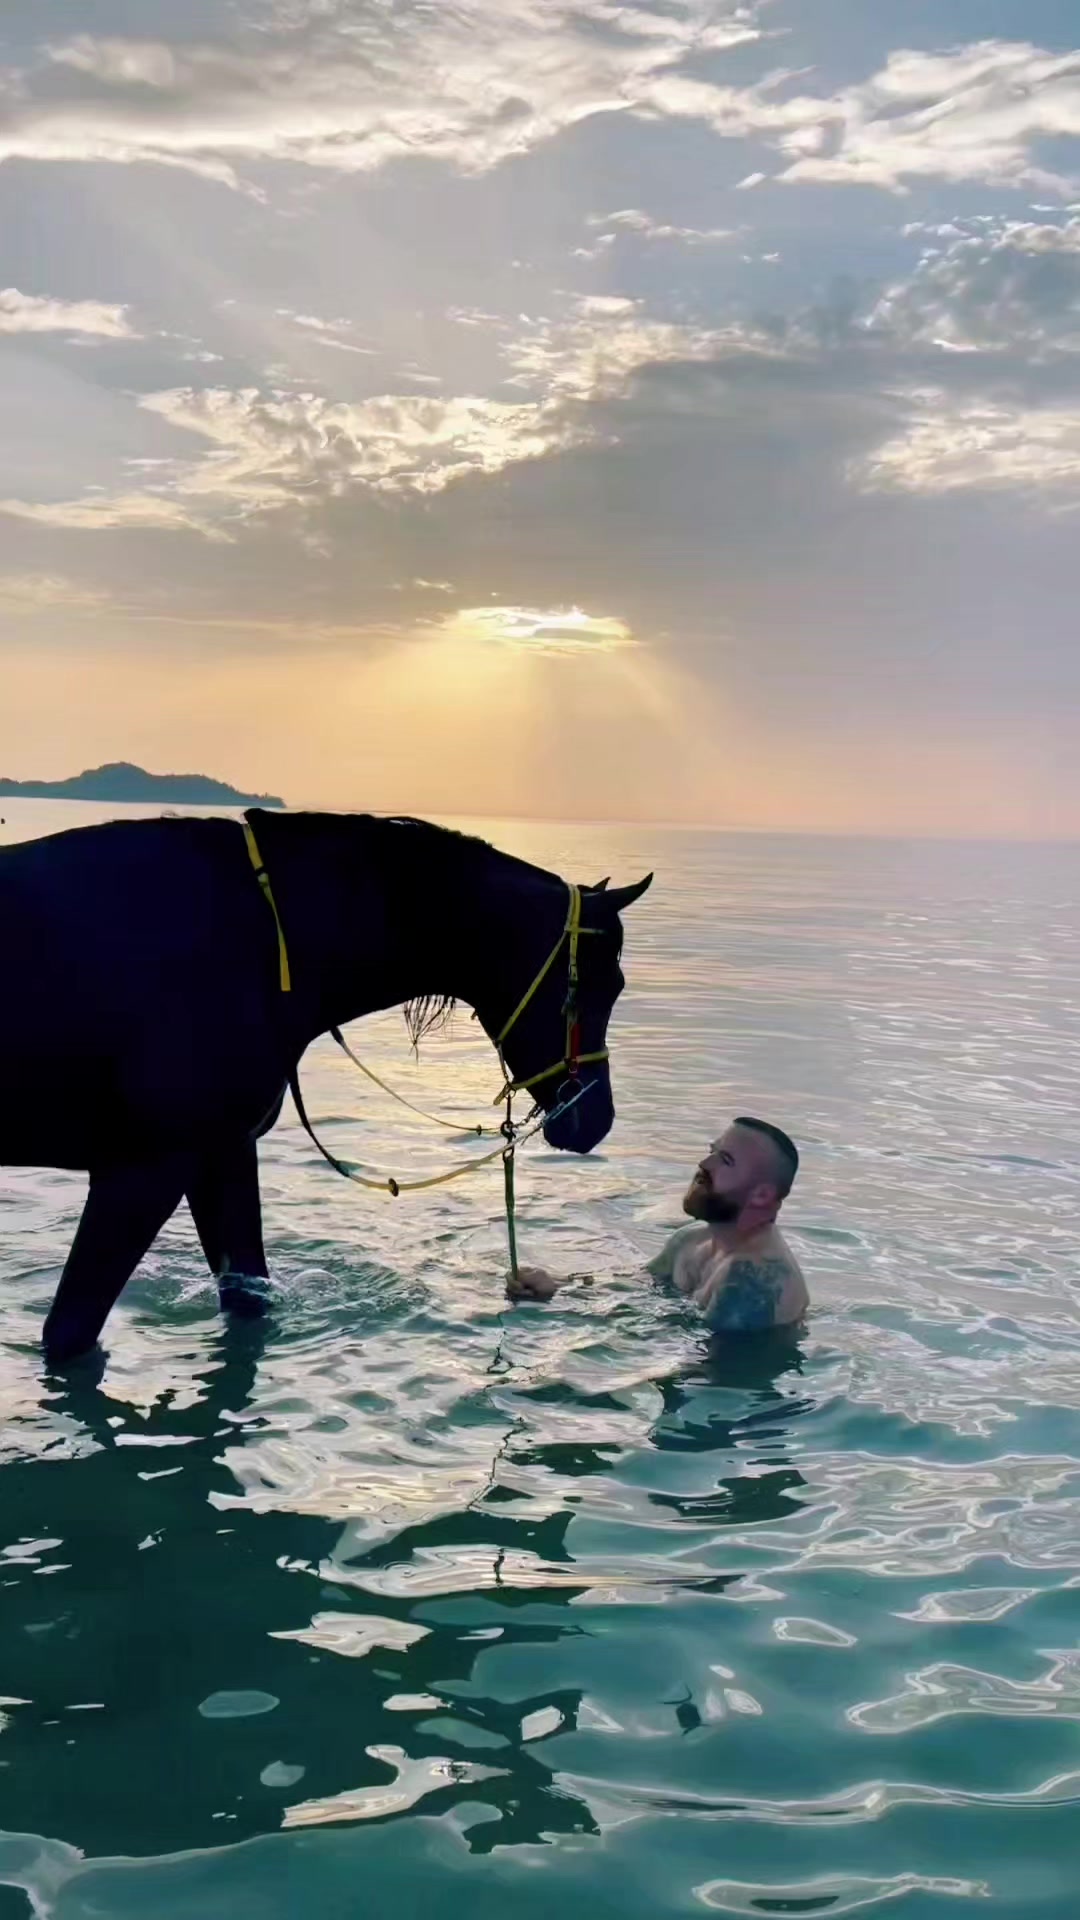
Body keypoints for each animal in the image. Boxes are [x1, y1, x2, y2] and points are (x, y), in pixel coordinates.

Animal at [0, 808, 651, 1361]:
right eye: (603, 983)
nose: (596, 1118)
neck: (265, 942)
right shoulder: (142, 1170)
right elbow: (69, 1332)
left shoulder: (221, 1155)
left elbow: (247, 1298)